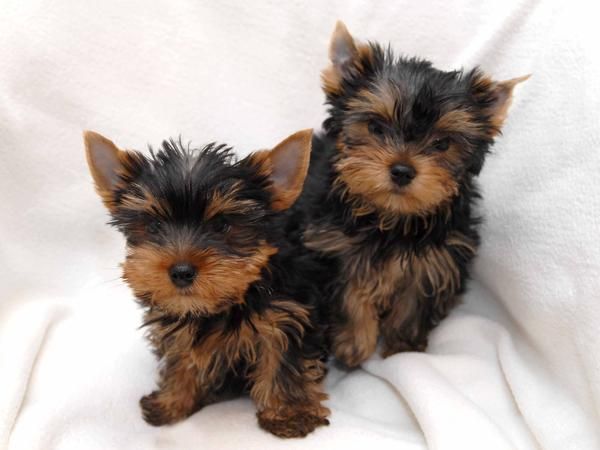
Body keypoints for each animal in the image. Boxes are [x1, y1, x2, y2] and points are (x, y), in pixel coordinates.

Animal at [83, 128, 328, 438]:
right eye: (154, 226)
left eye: (222, 225)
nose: (181, 271)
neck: (224, 303)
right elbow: (181, 358)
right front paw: (172, 400)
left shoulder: (286, 315)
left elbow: (284, 361)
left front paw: (290, 413)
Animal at [292, 21, 528, 368]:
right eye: (376, 127)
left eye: (442, 144)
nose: (402, 170)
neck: (391, 216)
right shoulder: (331, 247)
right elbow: (350, 294)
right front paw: (353, 345)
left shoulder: (436, 260)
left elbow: (414, 302)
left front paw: (402, 347)